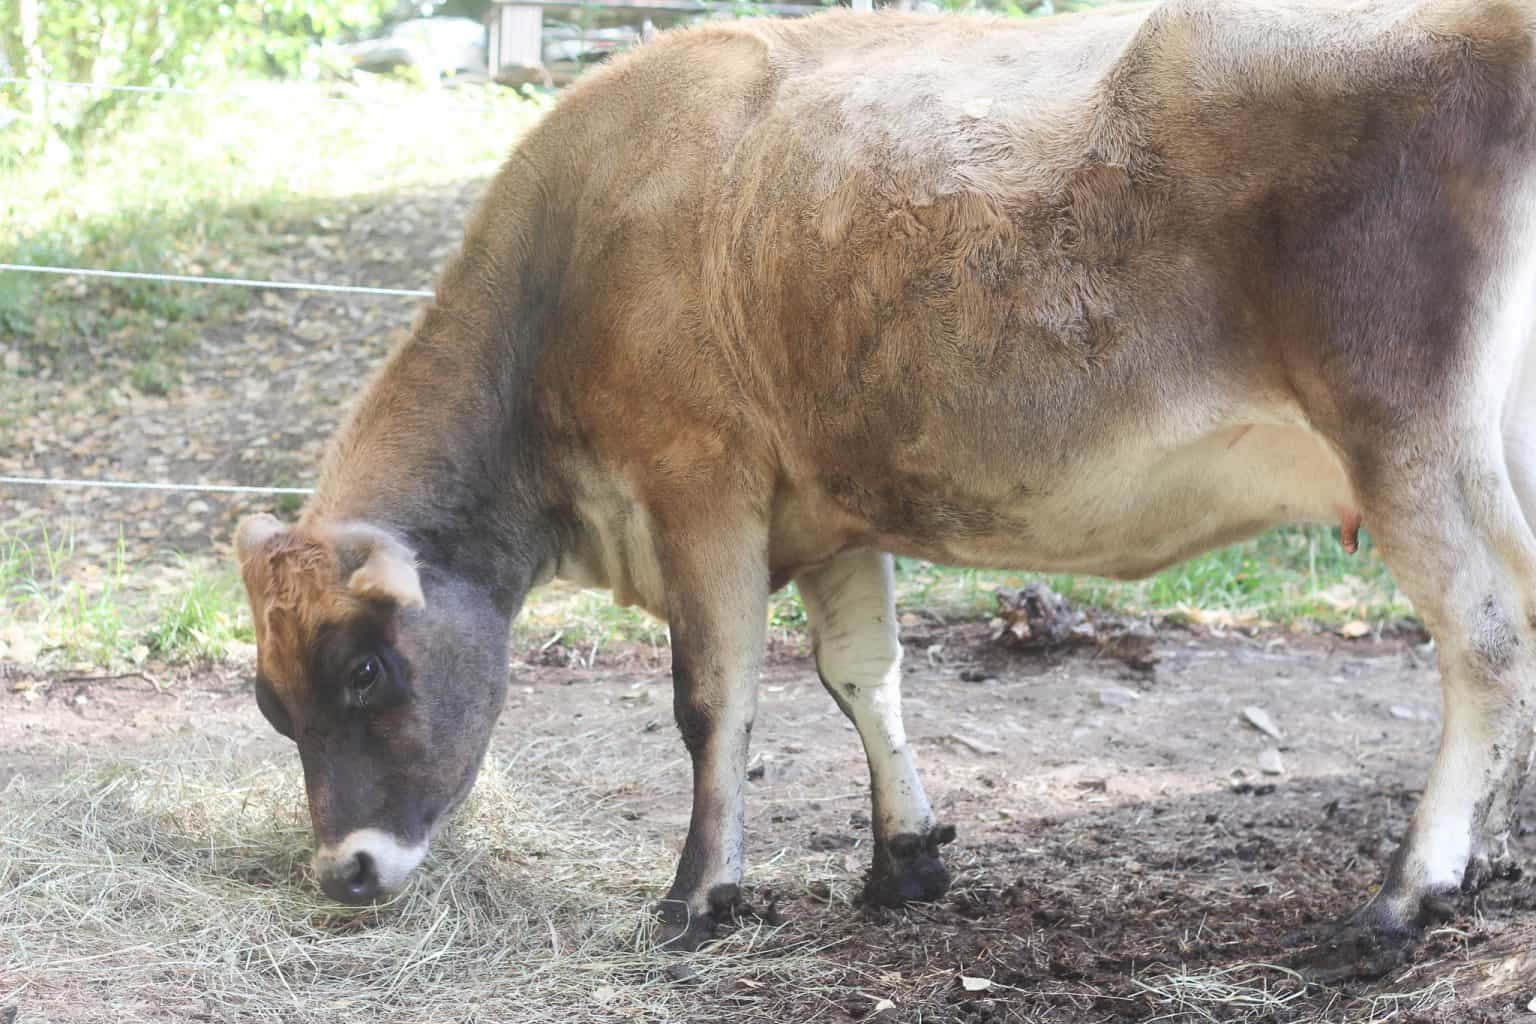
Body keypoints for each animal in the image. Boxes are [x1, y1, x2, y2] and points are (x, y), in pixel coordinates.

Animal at [235, 0, 1536, 979]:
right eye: (269, 702)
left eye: (366, 667)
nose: (345, 872)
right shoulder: (826, 506)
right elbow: (863, 674)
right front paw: (904, 858)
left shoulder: (700, 481)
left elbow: (714, 699)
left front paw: (697, 895)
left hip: (1408, 438)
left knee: (1483, 638)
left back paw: (1410, 891)